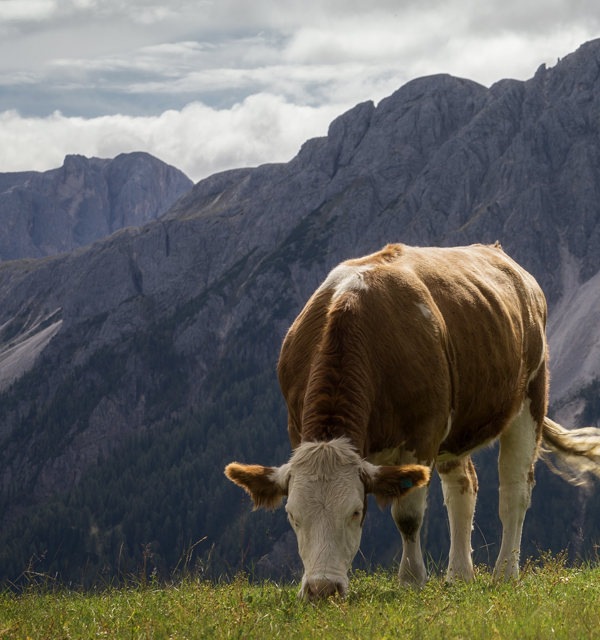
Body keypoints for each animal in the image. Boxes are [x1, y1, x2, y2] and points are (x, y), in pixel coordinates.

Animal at [225, 244, 600, 600]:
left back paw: (505, 574)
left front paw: (412, 580)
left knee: (514, 492)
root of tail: (498, 252)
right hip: (456, 430)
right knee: (463, 487)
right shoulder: (296, 427)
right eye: (292, 515)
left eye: (356, 512)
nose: (322, 590)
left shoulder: (423, 434)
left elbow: (407, 516)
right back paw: (459, 575)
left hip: (529, 398)